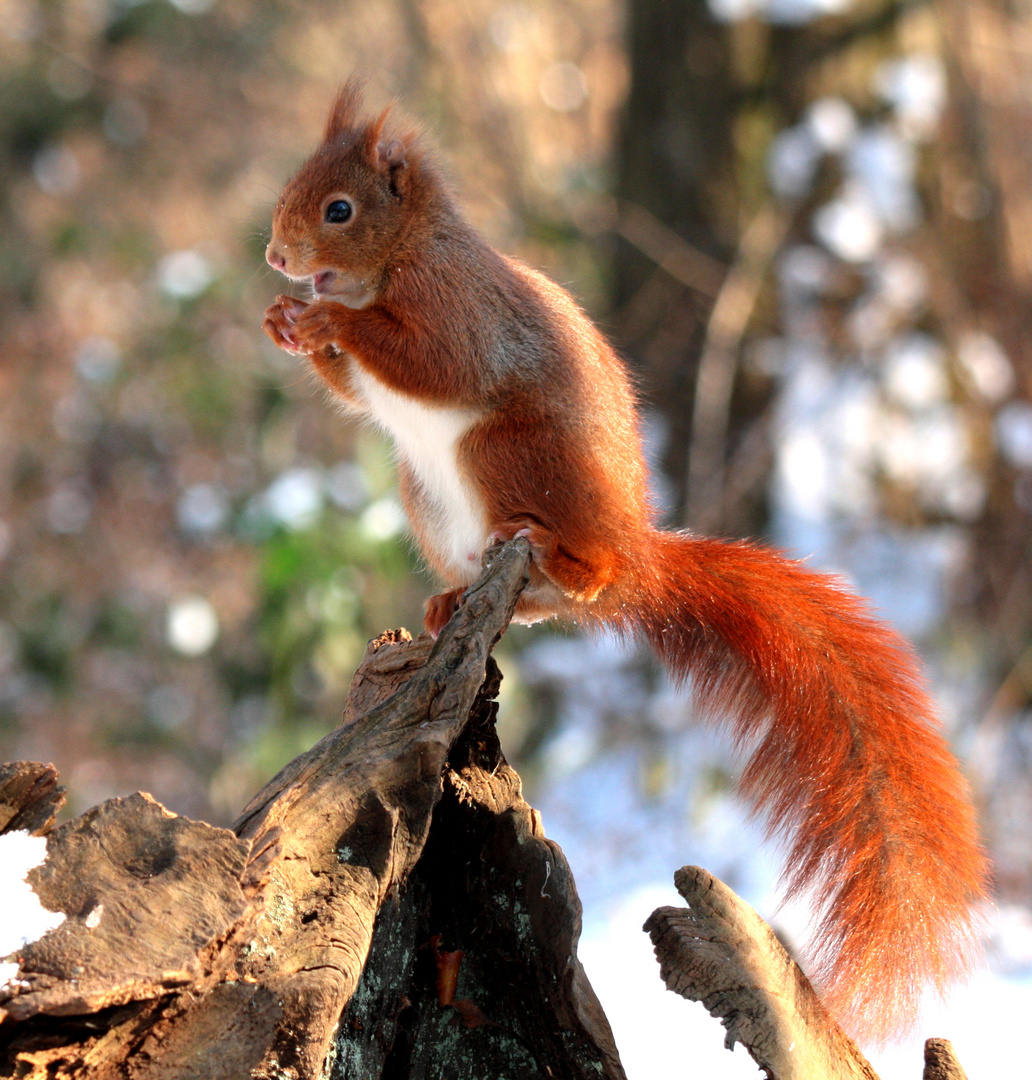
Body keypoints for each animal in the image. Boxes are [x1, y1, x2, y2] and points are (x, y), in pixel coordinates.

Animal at [262, 84, 988, 1045]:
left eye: (340, 210)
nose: (274, 257)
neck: (402, 256)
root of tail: (639, 553)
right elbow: (354, 386)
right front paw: (284, 322)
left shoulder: (457, 308)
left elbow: (428, 361)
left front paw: (325, 319)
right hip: (427, 496)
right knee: (530, 604)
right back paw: (456, 598)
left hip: (508, 454)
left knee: (582, 573)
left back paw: (565, 562)